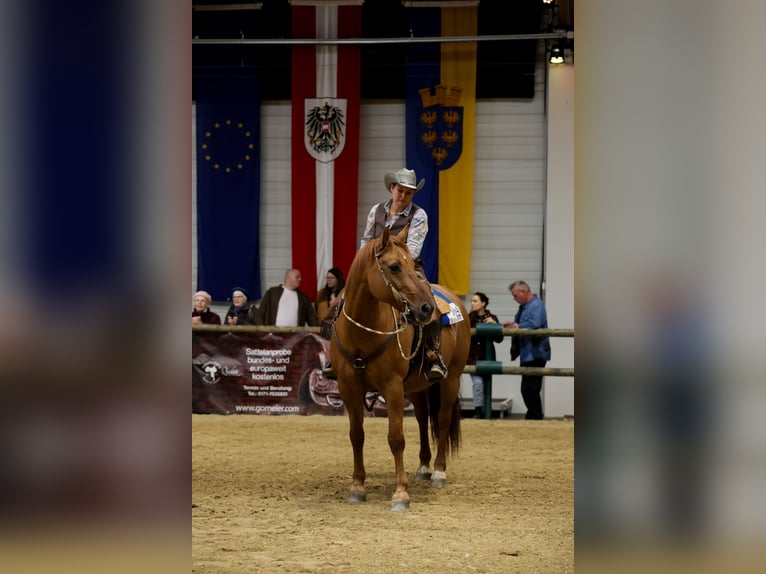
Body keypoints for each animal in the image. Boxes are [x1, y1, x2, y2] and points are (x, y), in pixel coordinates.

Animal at [329, 225, 471, 511]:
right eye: (394, 266)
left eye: (411, 264)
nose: (426, 308)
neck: (362, 334)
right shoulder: (348, 388)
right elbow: (356, 435)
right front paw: (357, 487)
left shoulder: (392, 386)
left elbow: (396, 438)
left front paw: (400, 493)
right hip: (416, 388)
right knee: (422, 419)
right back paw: (424, 467)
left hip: (451, 379)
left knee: (441, 419)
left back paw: (439, 471)